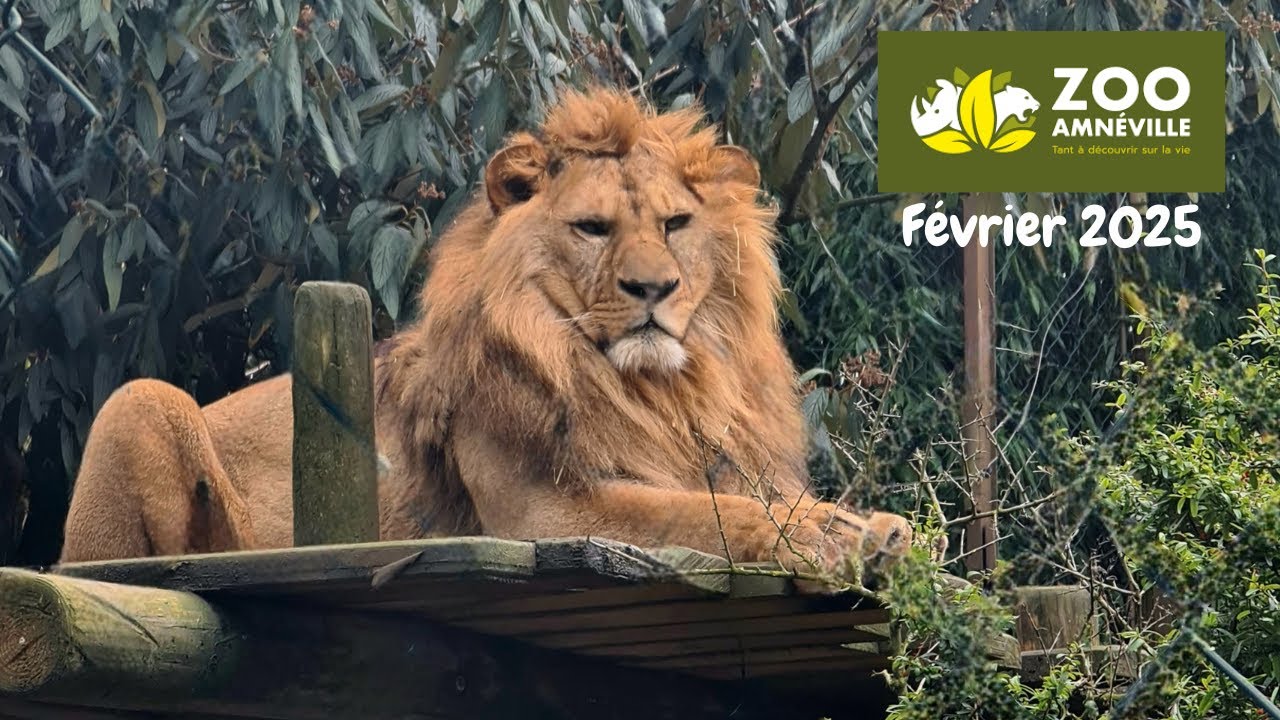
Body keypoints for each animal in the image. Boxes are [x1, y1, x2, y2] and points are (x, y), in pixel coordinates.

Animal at [60, 88, 913, 584]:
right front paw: (833, 540)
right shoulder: (545, 515)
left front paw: (876, 527)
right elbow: (708, 512)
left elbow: (749, 496)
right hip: (139, 403)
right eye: (594, 228)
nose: (654, 291)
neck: (657, 388)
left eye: (675, 224)